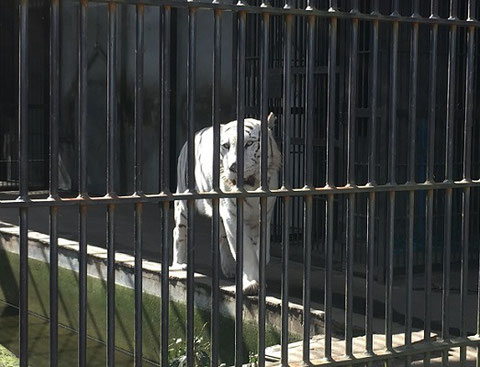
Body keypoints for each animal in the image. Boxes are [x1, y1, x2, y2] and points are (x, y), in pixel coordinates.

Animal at [172, 113, 282, 294]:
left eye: (249, 143)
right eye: (226, 146)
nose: (233, 167)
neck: (251, 185)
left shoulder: (263, 216)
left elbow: (262, 251)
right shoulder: (233, 215)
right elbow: (246, 250)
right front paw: (251, 283)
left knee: (222, 236)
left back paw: (229, 268)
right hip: (184, 201)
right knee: (178, 231)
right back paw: (179, 265)